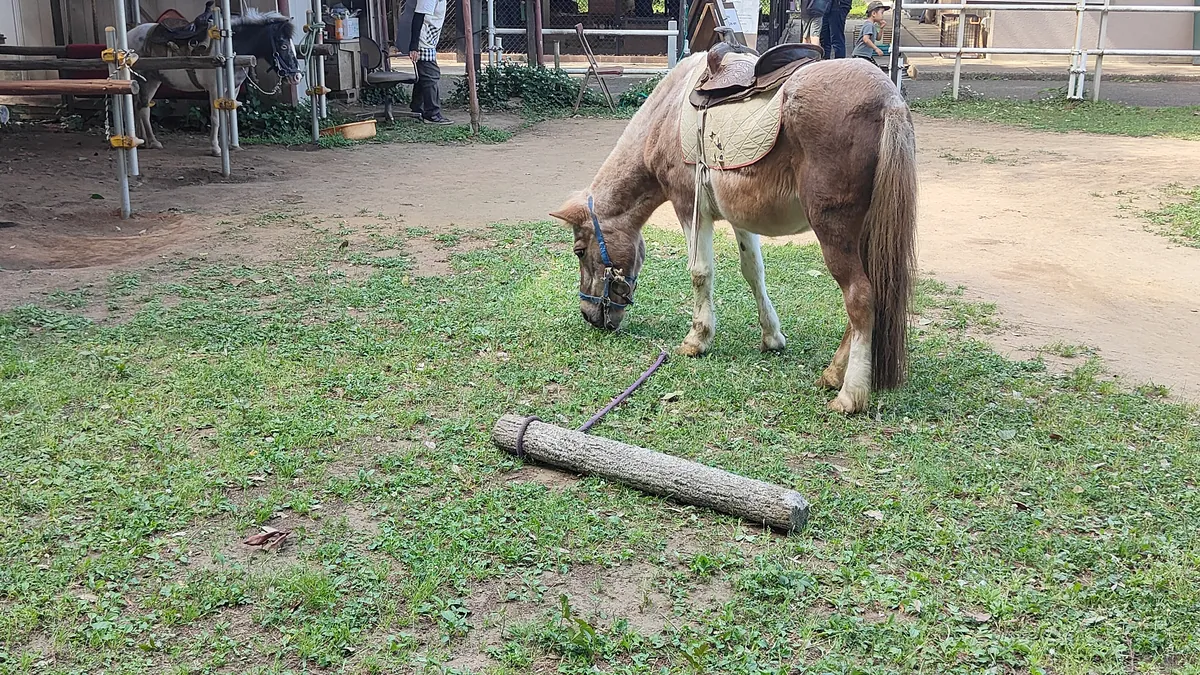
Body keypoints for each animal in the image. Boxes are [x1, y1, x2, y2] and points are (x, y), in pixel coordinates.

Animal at [127, 8, 303, 157]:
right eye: (284, 46)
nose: (297, 77)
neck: (229, 49)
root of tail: (129, 34)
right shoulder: (214, 89)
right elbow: (216, 117)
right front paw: (216, 148)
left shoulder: (233, 89)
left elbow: (230, 113)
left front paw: (232, 145)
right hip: (143, 80)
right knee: (143, 108)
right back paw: (153, 142)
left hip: (152, 80)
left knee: (141, 107)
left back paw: (147, 141)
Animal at [550, 52, 917, 414]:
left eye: (579, 251)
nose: (589, 315)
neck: (666, 115)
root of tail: (889, 99)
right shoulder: (740, 218)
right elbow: (753, 271)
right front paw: (771, 337)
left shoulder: (690, 207)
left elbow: (700, 272)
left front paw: (697, 339)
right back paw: (832, 374)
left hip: (833, 233)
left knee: (859, 297)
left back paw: (849, 394)